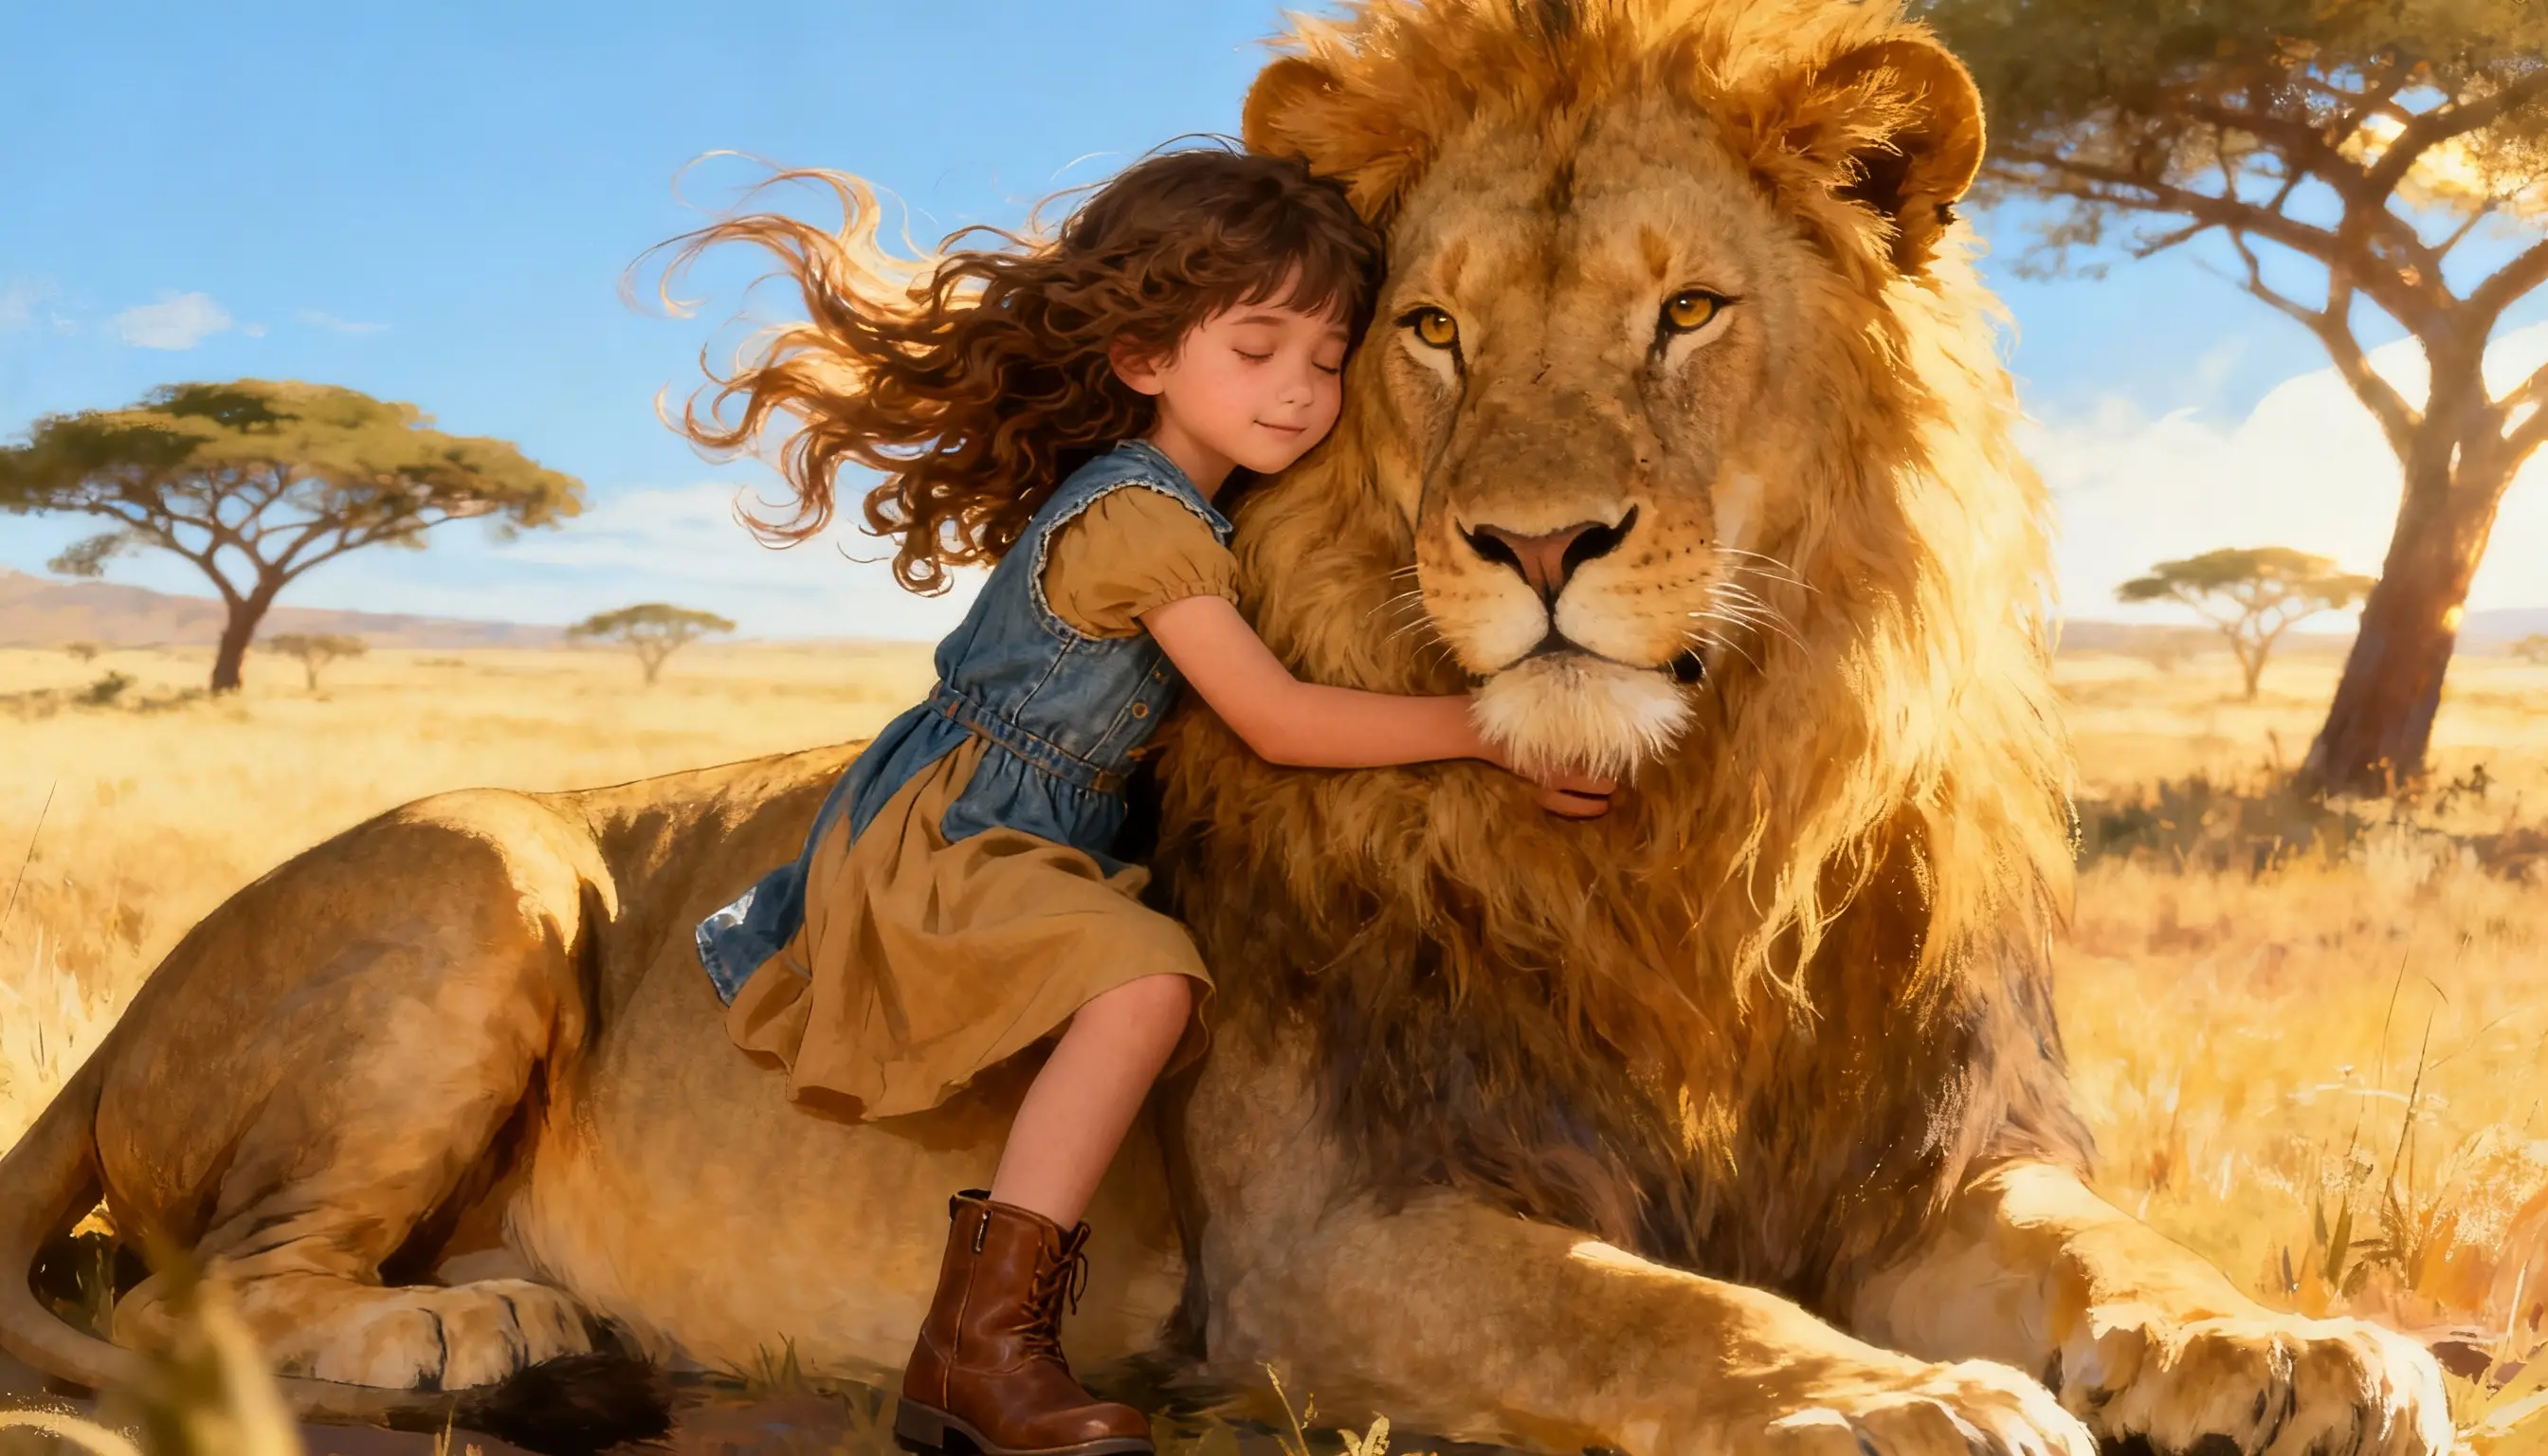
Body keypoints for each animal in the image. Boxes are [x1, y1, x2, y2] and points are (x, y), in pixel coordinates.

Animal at [0, 2, 2455, 1454]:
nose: (1533, 542)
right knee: (208, 1288)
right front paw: (1890, 1404)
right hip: (488, 860)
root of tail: (117, 1025)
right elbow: (1644, 1316)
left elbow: (2110, 1253)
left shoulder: (1938, 1161)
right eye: (1435, 334)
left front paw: (2297, 1350)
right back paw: (473, 1332)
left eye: (1684, 312)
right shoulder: (1336, 1240)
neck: (1685, 834)